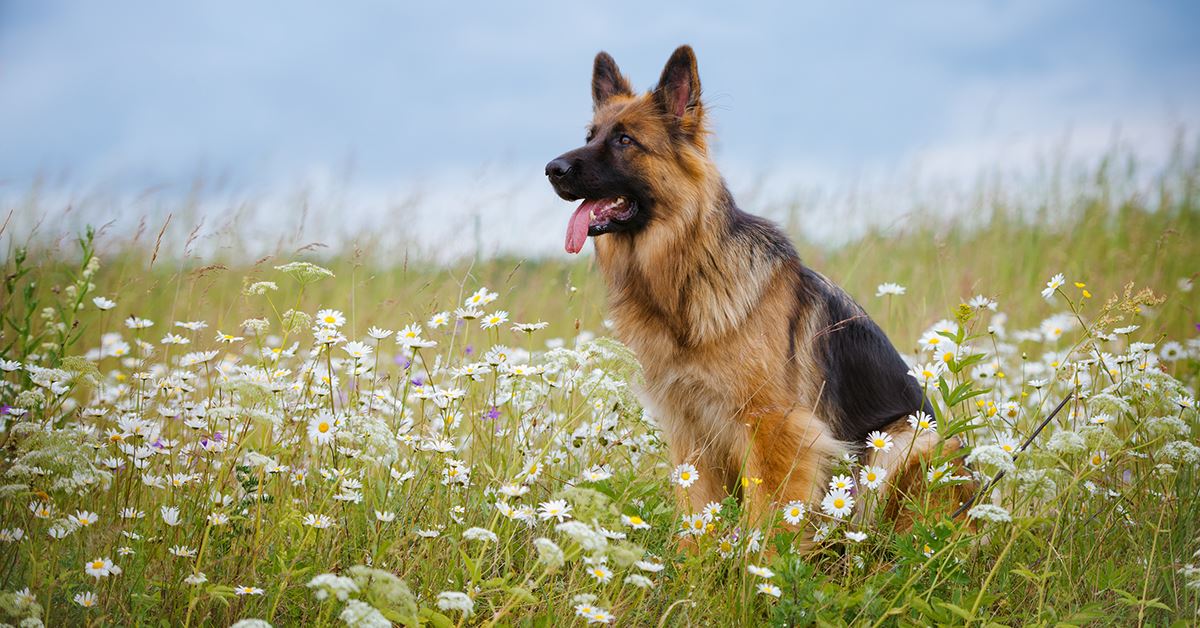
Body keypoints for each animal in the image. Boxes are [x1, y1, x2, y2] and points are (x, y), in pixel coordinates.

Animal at [544, 45, 964, 525]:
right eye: (591, 135)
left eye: (625, 141)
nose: (551, 169)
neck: (689, 273)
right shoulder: (689, 429)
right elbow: (697, 515)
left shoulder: (776, 427)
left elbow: (765, 521)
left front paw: (760, 549)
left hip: (904, 443)